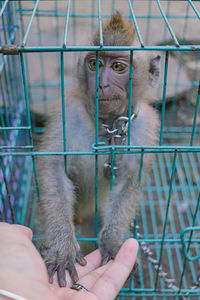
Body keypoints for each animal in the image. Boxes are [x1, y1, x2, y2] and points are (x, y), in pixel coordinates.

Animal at [35, 11, 161, 288]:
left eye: (118, 67)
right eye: (94, 64)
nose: (100, 85)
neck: (109, 127)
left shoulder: (145, 126)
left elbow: (128, 182)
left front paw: (112, 242)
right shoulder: (67, 114)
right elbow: (53, 169)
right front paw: (62, 247)